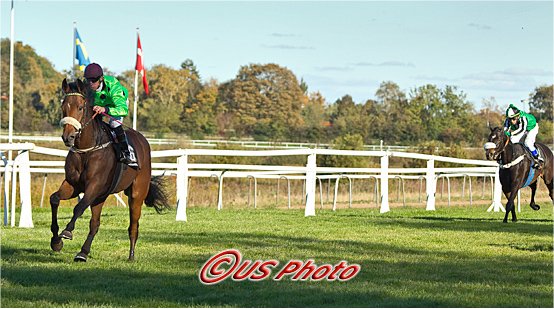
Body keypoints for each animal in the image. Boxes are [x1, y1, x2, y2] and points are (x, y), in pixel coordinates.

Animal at [50, 77, 169, 260]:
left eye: (80, 107)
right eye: (64, 107)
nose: (68, 137)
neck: (87, 150)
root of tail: (143, 141)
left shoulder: (94, 186)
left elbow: (79, 207)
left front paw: (67, 232)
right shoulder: (73, 185)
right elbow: (55, 199)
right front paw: (56, 241)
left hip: (136, 194)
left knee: (133, 226)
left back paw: (131, 256)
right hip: (101, 196)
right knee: (95, 224)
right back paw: (83, 253)